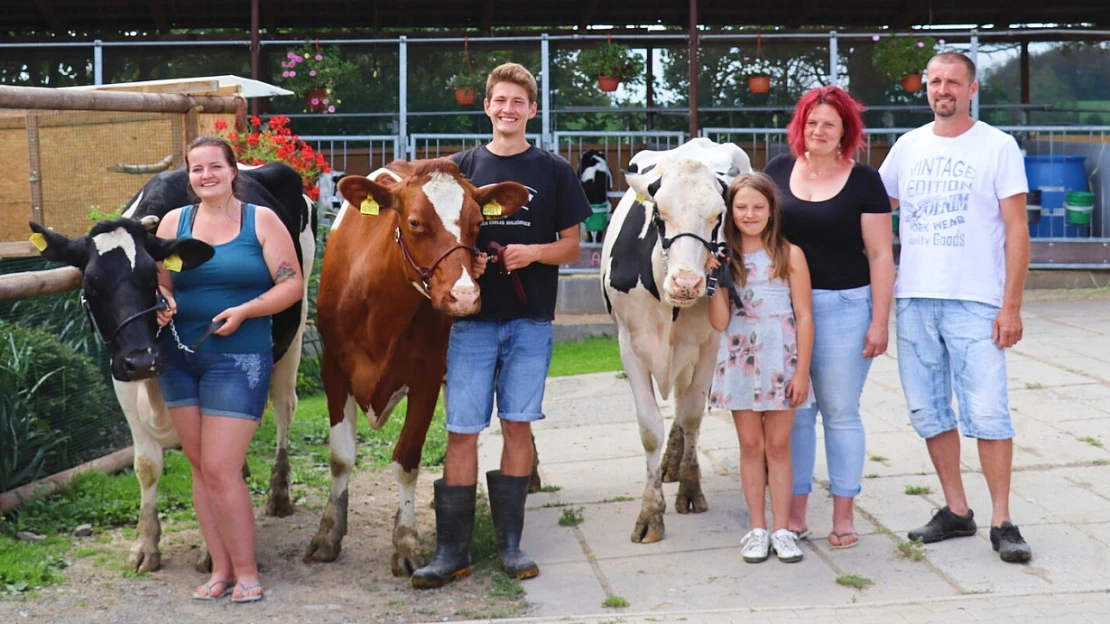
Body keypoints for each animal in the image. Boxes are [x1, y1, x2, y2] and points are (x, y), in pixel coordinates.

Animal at [30, 158, 315, 568]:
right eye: (91, 285)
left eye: (152, 278)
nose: (142, 360)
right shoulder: (121, 374)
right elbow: (147, 464)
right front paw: (145, 543)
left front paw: (213, 549)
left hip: (296, 319)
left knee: (283, 405)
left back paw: (279, 494)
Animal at [301, 156, 530, 572]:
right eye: (414, 223)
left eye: (477, 223)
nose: (464, 295)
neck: (378, 311)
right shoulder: (333, 369)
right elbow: (341, 457)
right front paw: (327, 535)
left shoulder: (426, 375)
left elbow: (407, 459)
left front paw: (405, 542)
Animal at [599, 138, 754, 541]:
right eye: (658, 216)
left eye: (718, 217)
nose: (687, 283)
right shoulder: (628, 345)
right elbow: (649, 428)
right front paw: (650, 513)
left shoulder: (707, 346)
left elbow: (691, 416)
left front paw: (689, 487)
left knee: (685, 403)